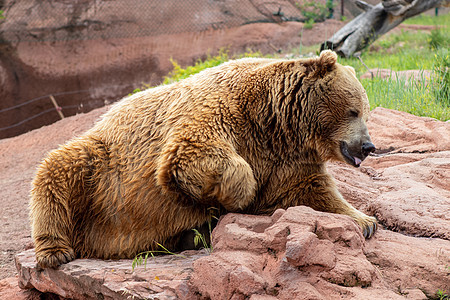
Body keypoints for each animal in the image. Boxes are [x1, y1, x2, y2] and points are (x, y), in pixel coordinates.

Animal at [29, 50, 378, 268]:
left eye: (365, 110)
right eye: (353, 110)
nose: (367, 146)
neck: (275, 119)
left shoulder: (288, 157)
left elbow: (311, 190)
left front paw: (365, 221)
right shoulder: (223, 111)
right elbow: (193, 154)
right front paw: (239, 194)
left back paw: (190, 237)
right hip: (100, 166)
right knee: (57, 170)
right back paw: (55, 251)